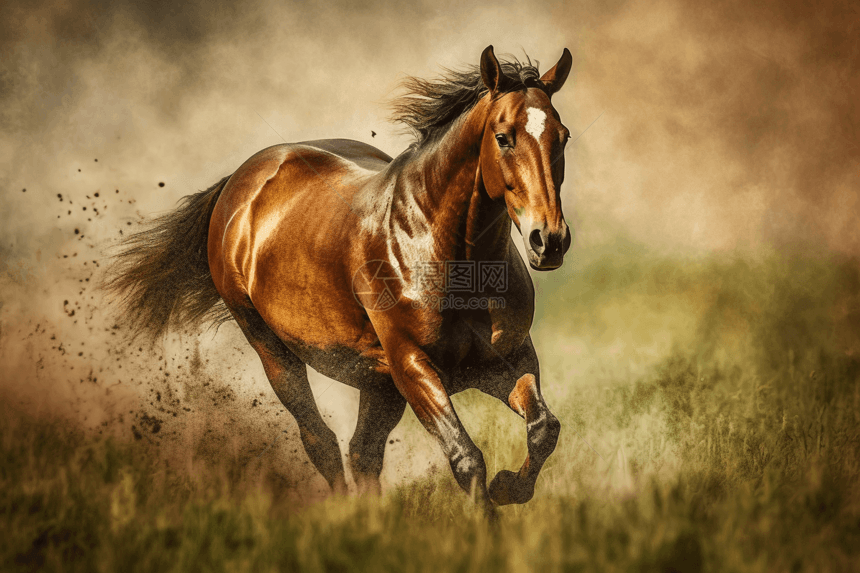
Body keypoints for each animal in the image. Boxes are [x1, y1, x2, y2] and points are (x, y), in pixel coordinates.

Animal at [109, 43, 576, 510]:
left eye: (563, 136)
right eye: (503, 137)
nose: (549, 240)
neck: (448, 256)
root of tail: (240, 184)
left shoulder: (505, 360)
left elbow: (544, 429)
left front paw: (508, 486)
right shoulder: (413, 366)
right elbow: (466, 458)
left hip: (378, 382)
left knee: (362, 453)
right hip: (273, 351)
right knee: (322, 442)